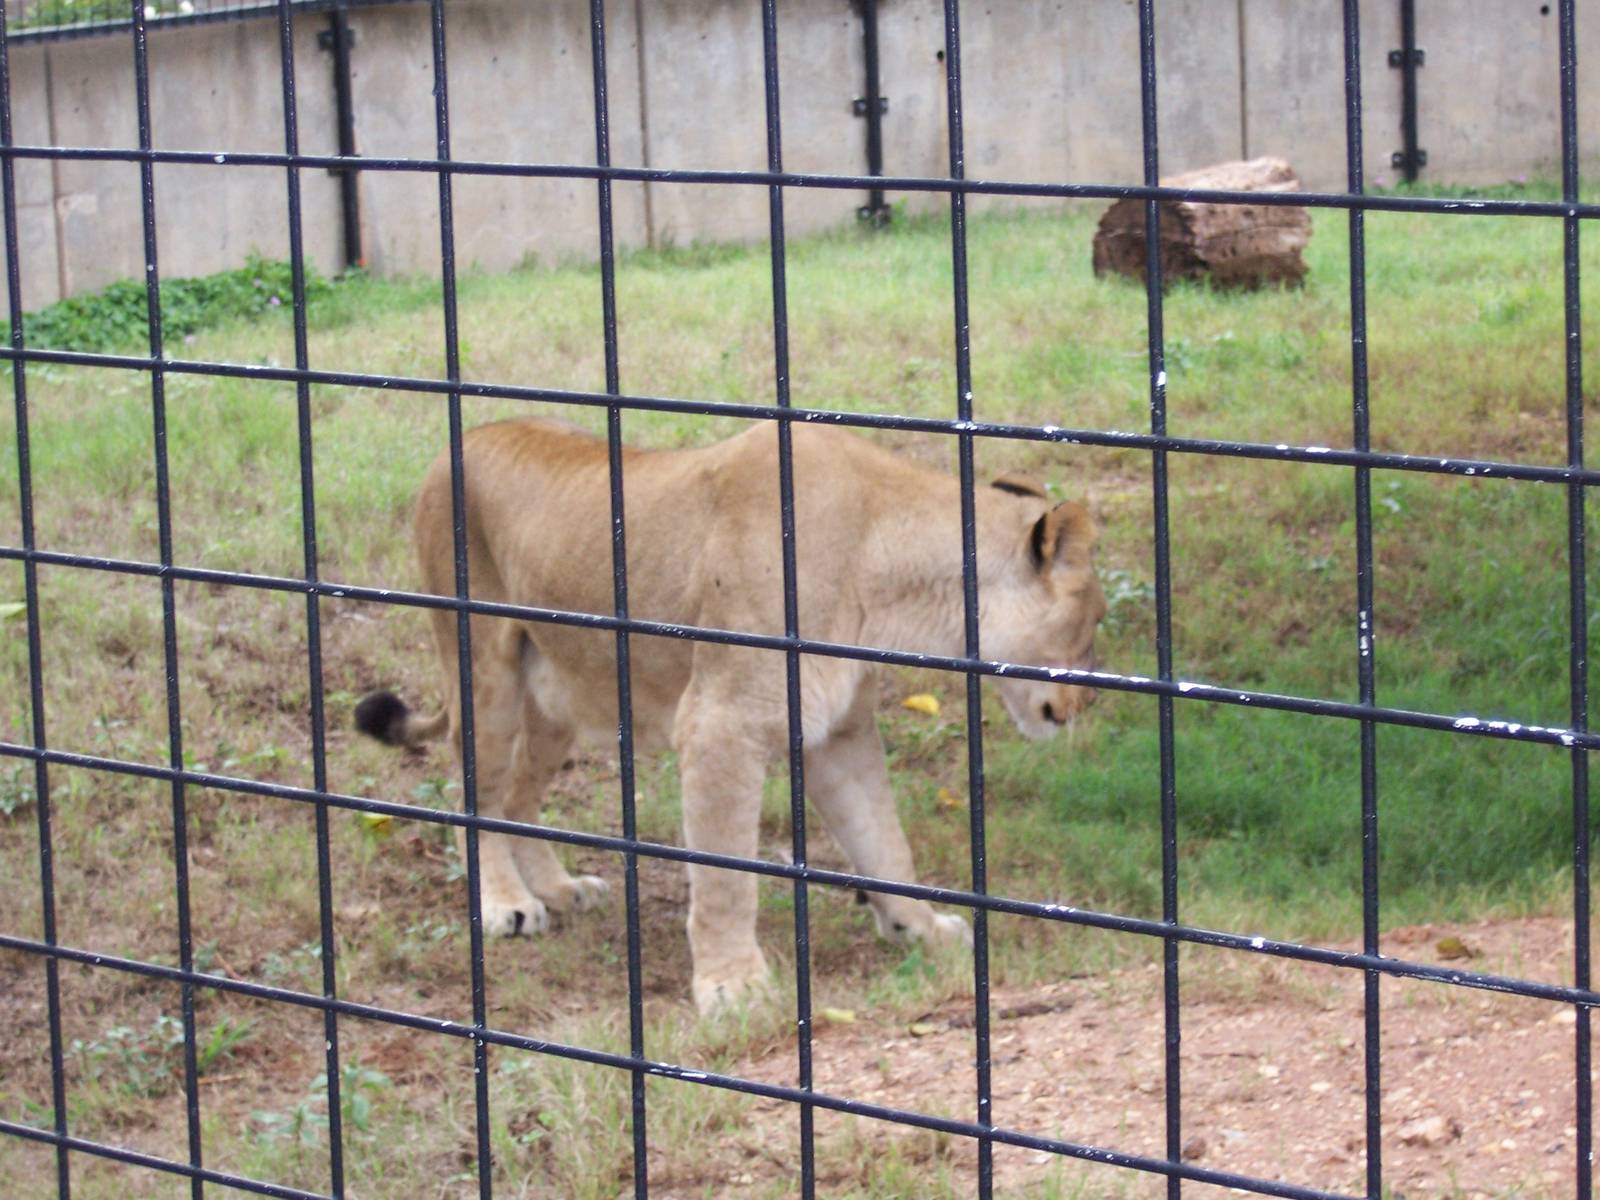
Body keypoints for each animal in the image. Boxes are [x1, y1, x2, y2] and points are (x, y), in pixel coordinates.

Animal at [355, 416, 1106, 1013]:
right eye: (1095, 621)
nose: (1086, 702)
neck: (895, 579)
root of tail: (464, 436)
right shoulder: (721, 724)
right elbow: (725, 874)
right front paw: (734, 986)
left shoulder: (837, 731)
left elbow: (883, 840)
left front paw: (920, 929)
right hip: (483, 675)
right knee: (474, 795)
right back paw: (507, 905)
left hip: (558, 698)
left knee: (516, 797)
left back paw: (562, 890)